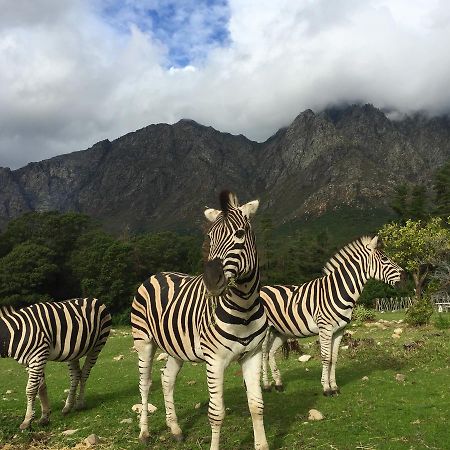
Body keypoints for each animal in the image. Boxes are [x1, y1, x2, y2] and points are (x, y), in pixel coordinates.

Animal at [0, 298, 111, 428]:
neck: (14, 333)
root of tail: (93, 299)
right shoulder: (30, 361)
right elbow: (41, 387)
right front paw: (45, 416)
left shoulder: (38, 356)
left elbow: (31, 389)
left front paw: (27, 421)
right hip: (73, 352)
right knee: (75, 375)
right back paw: (68, 406)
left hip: (97, 345)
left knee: (84, 373)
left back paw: (80, 403)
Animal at [132, 192, 268, 450]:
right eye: (210, 237)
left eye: (240, 234)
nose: (211, 281)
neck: (244, 306)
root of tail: (157, 273)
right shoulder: (214, 360)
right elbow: (216, 413)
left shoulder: (253, 355)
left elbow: (256, 406)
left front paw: (262, 445)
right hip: (143, 342)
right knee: (145, 384)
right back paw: (144, 433)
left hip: (175, 347)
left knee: (167, 379)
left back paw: (175, 428)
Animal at [260, 236, 404, 398]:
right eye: (384, 259)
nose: (405, 276)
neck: (338, 291)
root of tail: (263, 288)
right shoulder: (325, 328)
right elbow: (325, 357)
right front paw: (326, 388)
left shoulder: (339, 330)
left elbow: (333, 358)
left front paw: (334, 387)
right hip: (265, 330)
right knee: (264, 353)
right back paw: (266, 385)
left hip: (281, 331)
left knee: (271, 352)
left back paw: (278, 384)